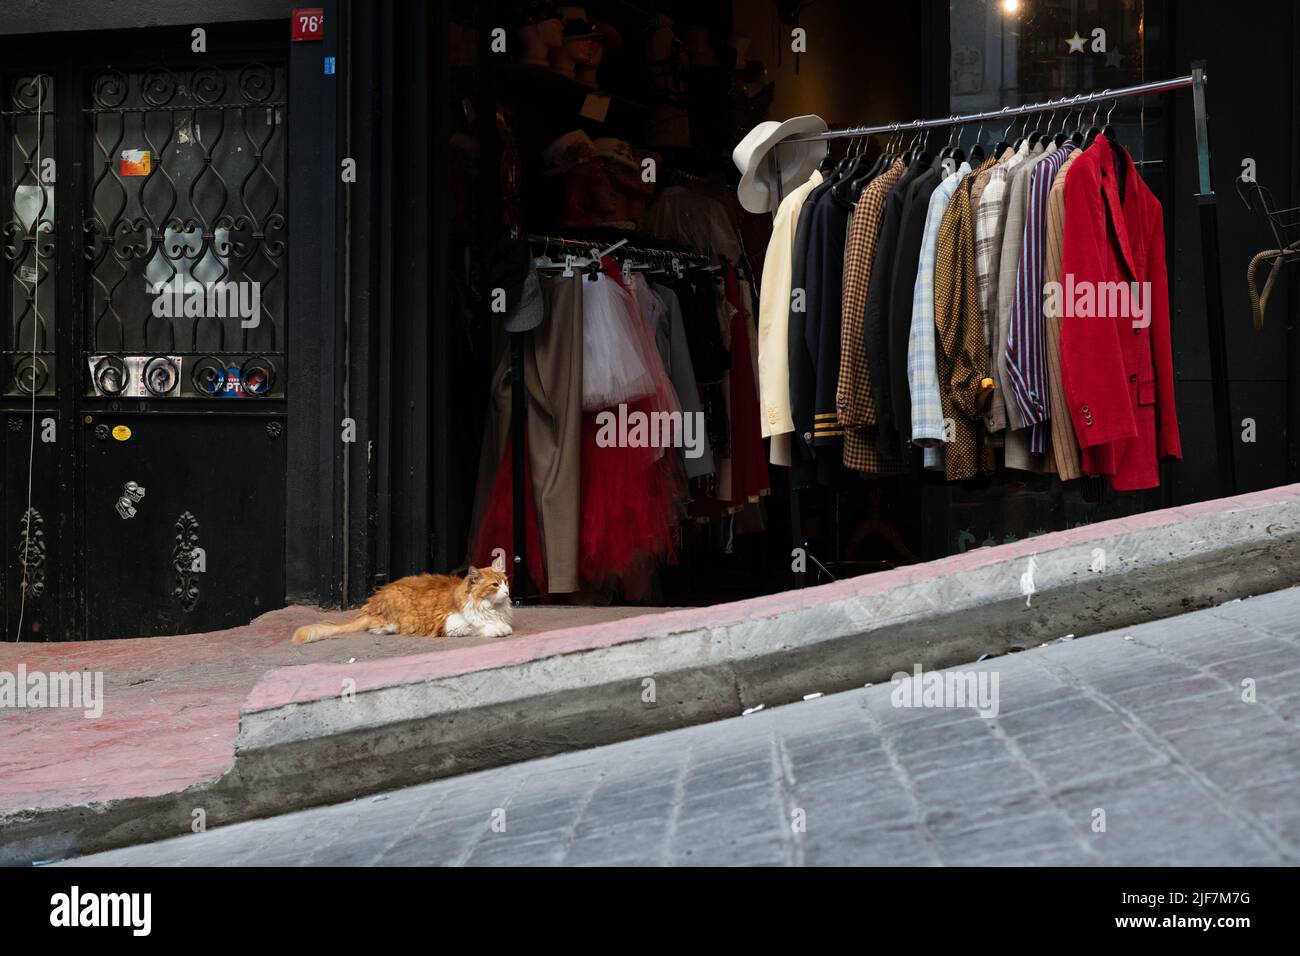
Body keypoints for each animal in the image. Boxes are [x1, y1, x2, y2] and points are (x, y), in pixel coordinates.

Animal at [293, 556, 512, 647]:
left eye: (505, 581)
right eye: (494, 585)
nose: (508, 591)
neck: (492, 608)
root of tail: (373, 601)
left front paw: (501, 626)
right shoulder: (451, 624)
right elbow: (478, 626)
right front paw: (497, 629)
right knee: (375, 626)